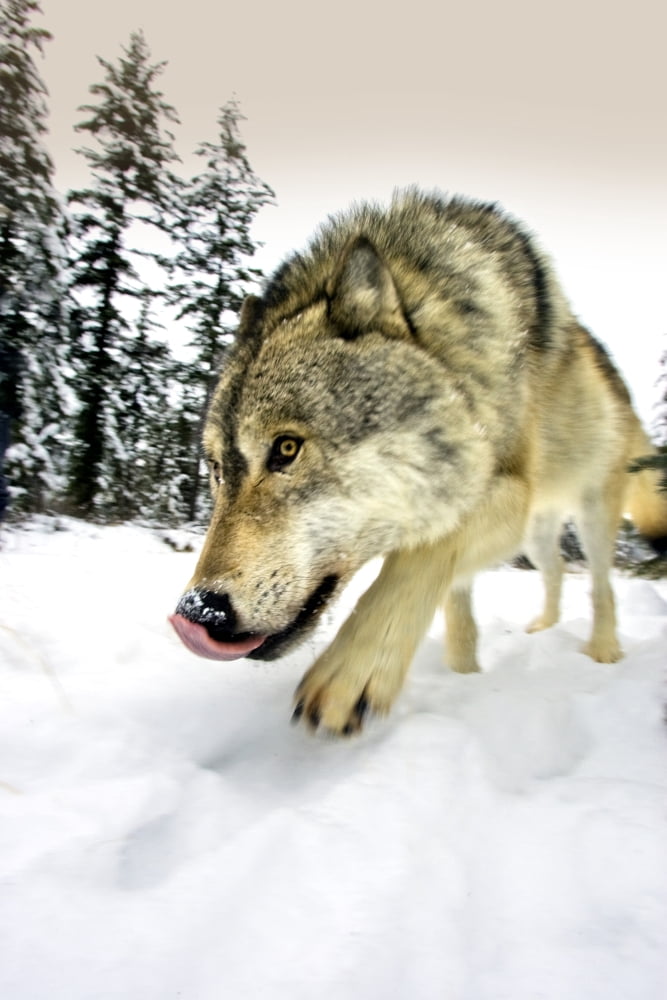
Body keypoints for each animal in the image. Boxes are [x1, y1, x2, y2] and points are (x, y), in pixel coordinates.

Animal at [169, 189, 667, 735]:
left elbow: (420, 559)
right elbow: (456, 614)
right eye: (216, 470)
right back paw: (541, 629)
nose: (198, 612)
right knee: (555, 570)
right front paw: (463, 676)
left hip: (592, 512)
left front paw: (352, 672)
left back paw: (602, 651)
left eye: (285, 449)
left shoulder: (503, 492)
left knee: (600, 585)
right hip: (538, 534)